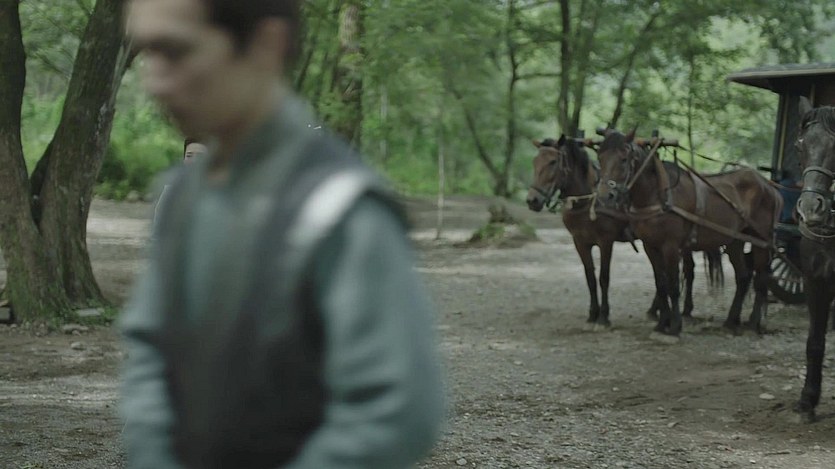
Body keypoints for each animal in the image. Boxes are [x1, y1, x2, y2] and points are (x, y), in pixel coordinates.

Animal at [526, 135, 718, 328]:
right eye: (534, 162)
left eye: (552, 162)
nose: (532, 200)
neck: (588, 201)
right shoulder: (580, 242)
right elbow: (590, 278)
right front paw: (593, 314)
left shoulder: (606, 241)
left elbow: (603, 277)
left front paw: (603, 317)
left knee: (687, 271)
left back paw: (682, 311)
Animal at [595, 129, 782, 339]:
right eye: (600, 157)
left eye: (624, 159)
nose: (604, 195)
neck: (657, 195)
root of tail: (769, 186)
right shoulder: (650, 245)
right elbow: (661, 284)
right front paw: (662, 324)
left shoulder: (671, 246)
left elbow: (674, 286)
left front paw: (674, 327)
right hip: (736, 240)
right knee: (743, 277)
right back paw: (731, 321)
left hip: (760, 240)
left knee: (761, 278)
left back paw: (753, 323)